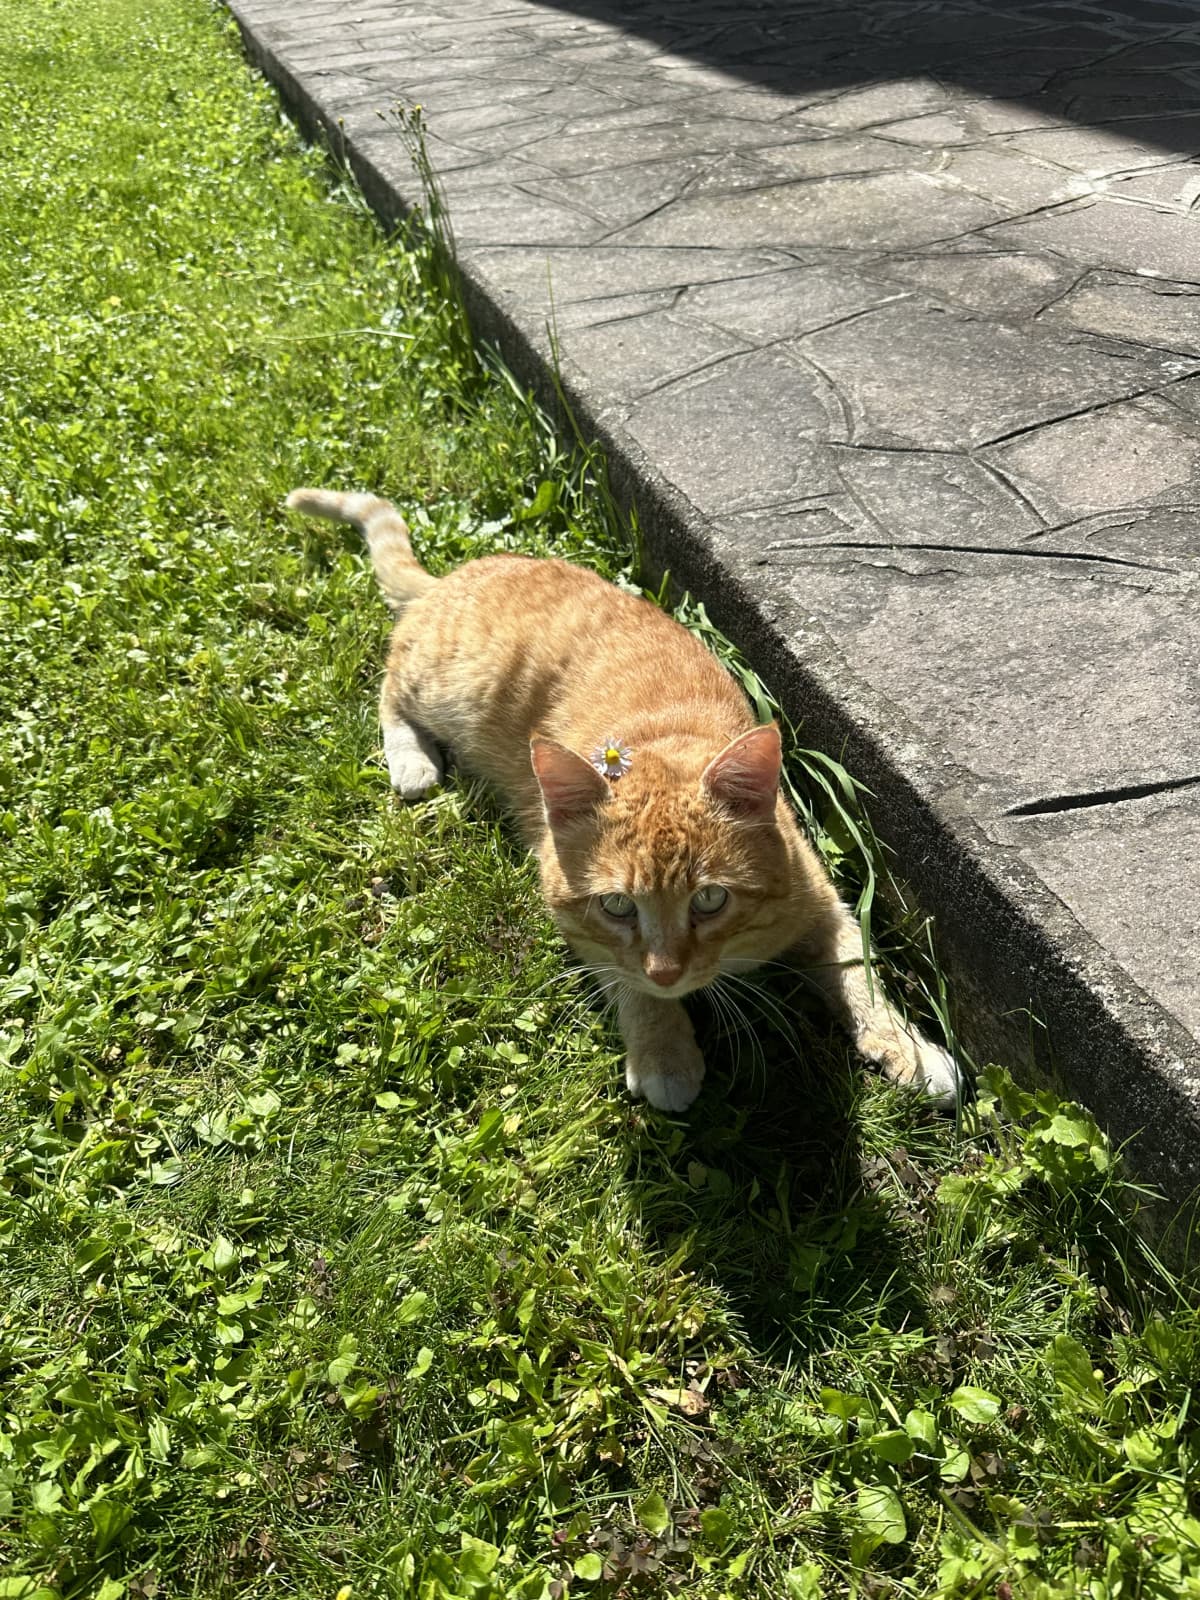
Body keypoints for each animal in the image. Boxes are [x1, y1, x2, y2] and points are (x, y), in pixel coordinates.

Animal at [286, 486, 966, 1113]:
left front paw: (908, 1047)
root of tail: (454, 577)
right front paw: (664, 1052)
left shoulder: (824, 904)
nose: (667, 973)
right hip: (438, 684)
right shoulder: (581, 926)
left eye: (710, 899)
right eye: (616, 905)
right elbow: (628, 983)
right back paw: (413, 761)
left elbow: (859, 971)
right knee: (388, 684)